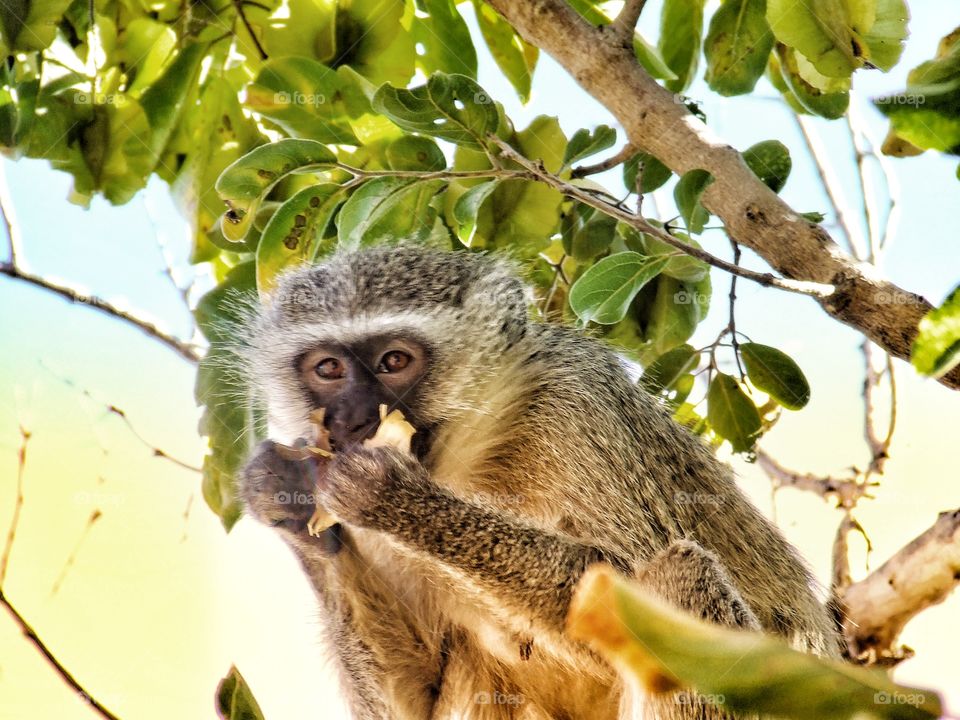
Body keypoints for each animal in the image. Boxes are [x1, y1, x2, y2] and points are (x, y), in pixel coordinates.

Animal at [238, 244, 839, 720]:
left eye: (393, 360)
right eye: (328, 369)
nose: (353, 421)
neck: (480, 454)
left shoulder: (575, 404)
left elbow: (617, 581)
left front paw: (398, 500)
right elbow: (416, 699)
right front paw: (288, 497)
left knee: (679, 574)